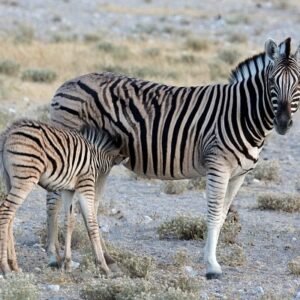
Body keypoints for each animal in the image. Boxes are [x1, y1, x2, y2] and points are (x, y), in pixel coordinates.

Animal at [0, 118, 126, 276]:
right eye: (105, 174)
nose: (99, 192)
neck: (95, 156)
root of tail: (9, 132)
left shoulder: (68, 190)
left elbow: (69, 221)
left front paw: (67, 263)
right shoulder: (86, 185)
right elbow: (91, 223)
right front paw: (104, 266)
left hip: (10, 180)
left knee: (10, 217)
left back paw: (14, 266)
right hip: (25, 179)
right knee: (5, 212)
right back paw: (5, 267)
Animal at [45, 37, 298, 278]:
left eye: (298, 84)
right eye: (272, 82)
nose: (283, 123)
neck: (242, 114)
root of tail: (67, 82)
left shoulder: (239, 175)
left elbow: (222, 216)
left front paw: (210, 258)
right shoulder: (218, 167)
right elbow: (214, 214)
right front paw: (212, 266)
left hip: (97, 160)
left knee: (90, 205)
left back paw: (107, 260)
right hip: (70, 151)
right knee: (53, 200)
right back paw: (52, 256)